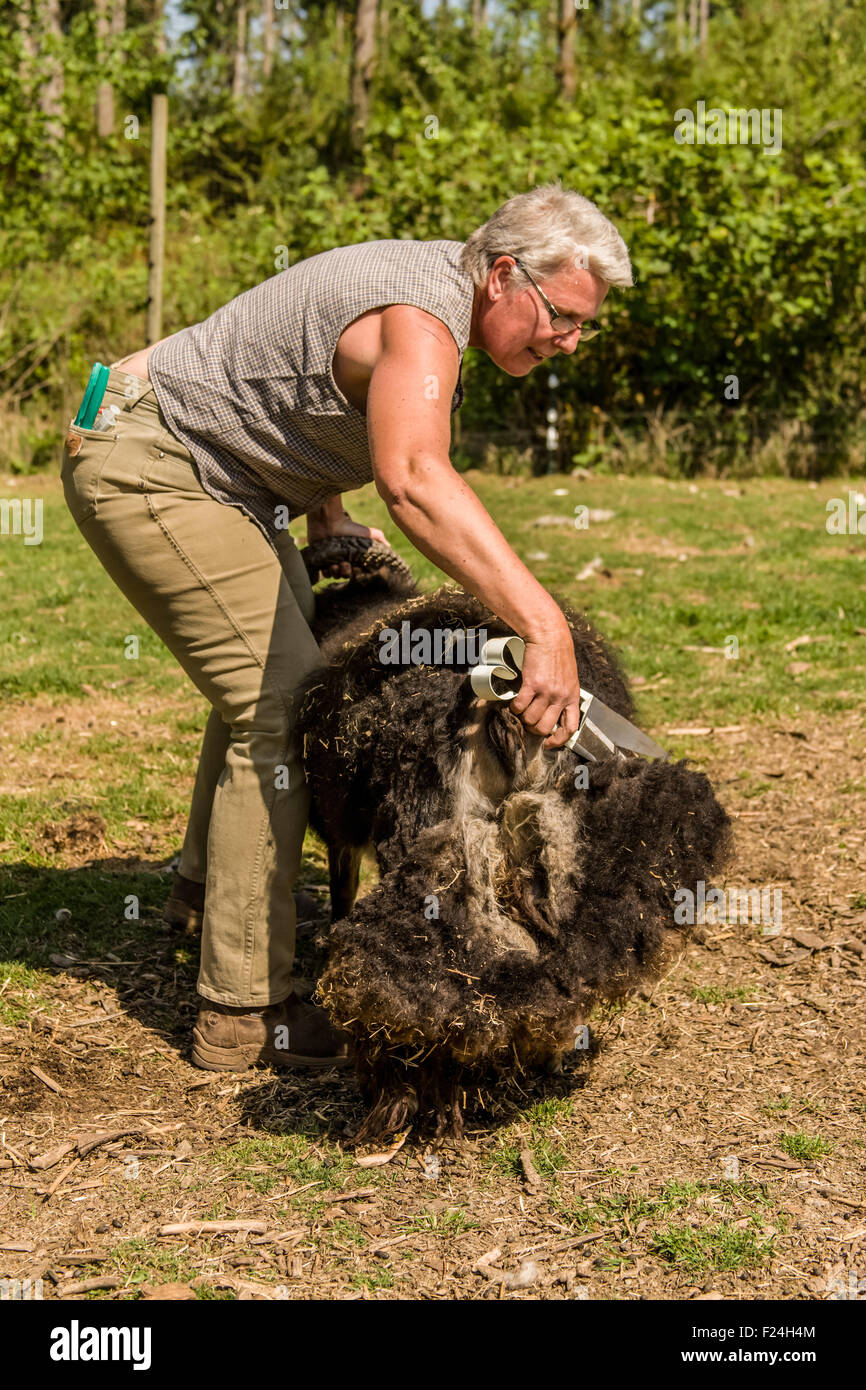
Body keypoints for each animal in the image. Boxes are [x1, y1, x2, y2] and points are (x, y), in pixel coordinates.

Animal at [298, 537, 732, 1143]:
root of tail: (498, 712)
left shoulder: (342, 837)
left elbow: (342, 894)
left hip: (433, 857)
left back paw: (412, 1097)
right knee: (564, 952)